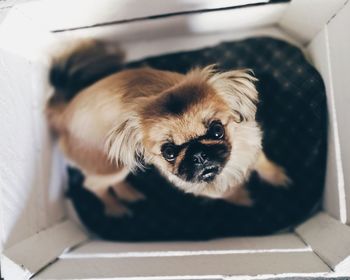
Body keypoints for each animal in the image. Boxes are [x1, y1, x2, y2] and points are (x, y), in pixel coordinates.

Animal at [47, 40, 290, 214]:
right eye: (169, 152)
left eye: (217, 130)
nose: (198, 154)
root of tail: (64, 114)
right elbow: (230, 194)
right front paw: (244, 200)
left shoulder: (254, 146)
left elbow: (264, 164)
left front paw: (278, 178)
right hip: (110, 166)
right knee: (94, 185)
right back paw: (116, 209)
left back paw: (129, 194)